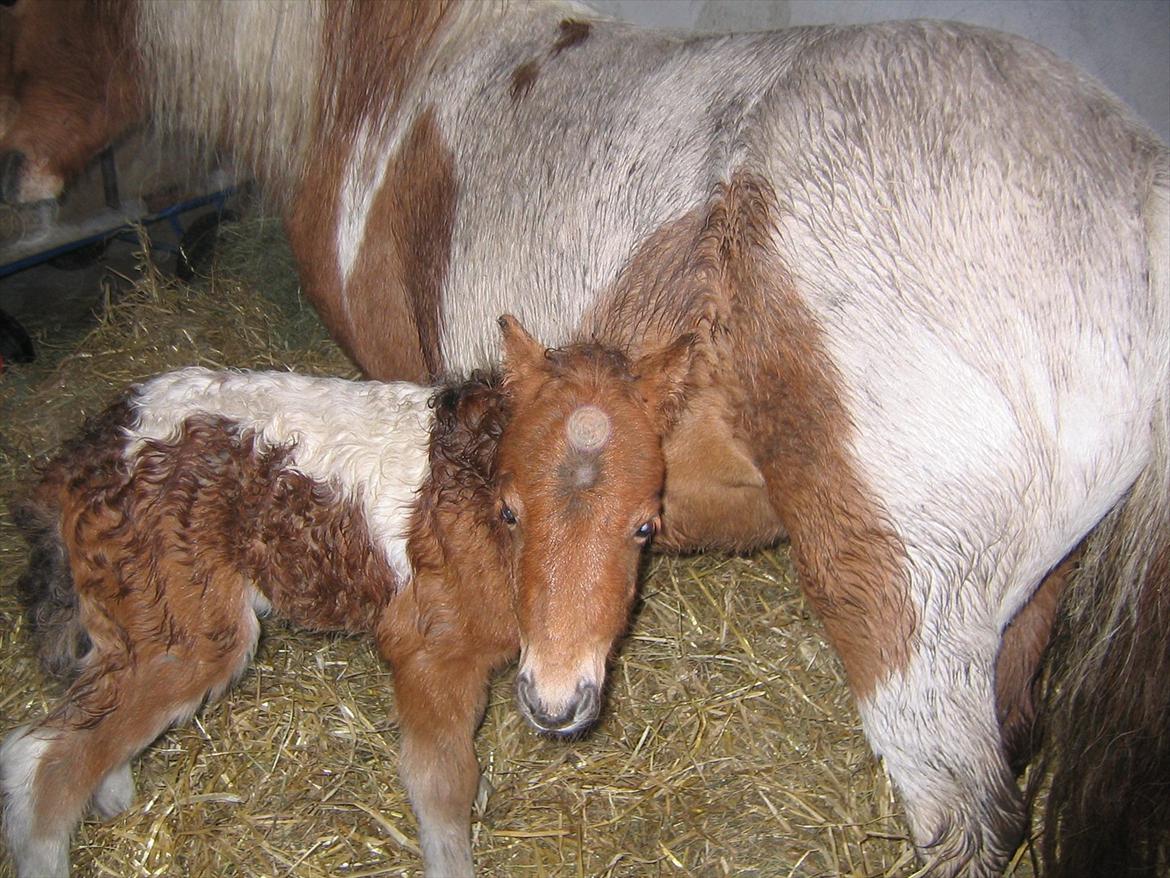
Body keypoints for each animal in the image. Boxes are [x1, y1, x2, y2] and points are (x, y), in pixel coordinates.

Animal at [0, 320, 687, 878]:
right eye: (510, 512)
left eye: (645, 526)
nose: (555, 704)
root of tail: (88, 452)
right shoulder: (427, 651)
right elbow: (443, 787)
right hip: (186, 631)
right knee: (39, 762)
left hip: (136, 613)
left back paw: (111, 791)